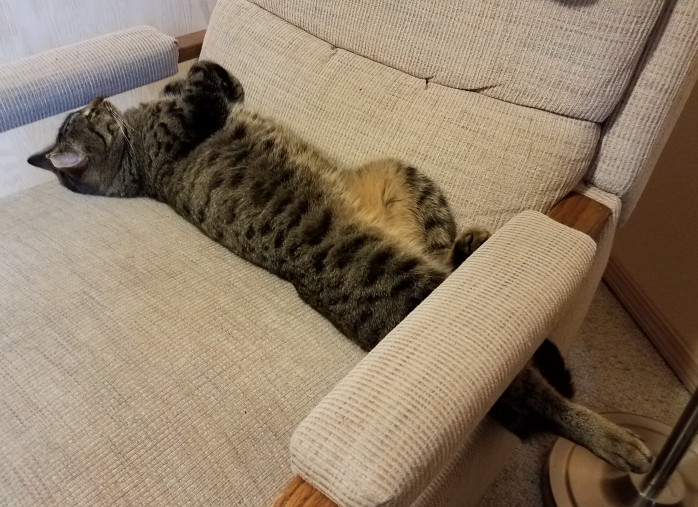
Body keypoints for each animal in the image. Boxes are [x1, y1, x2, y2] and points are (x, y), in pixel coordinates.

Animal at [28, 61, 652, 474]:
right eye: (89, 113)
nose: (99, 96)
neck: (131, 167)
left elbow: (195, 77)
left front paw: (220, 80)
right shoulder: (180, 122)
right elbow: (199, 79)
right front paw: (216, 78)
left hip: (408, 180)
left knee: (447, 249)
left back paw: (472, 242)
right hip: (426, 295)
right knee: (537, 399)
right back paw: (617, 442)